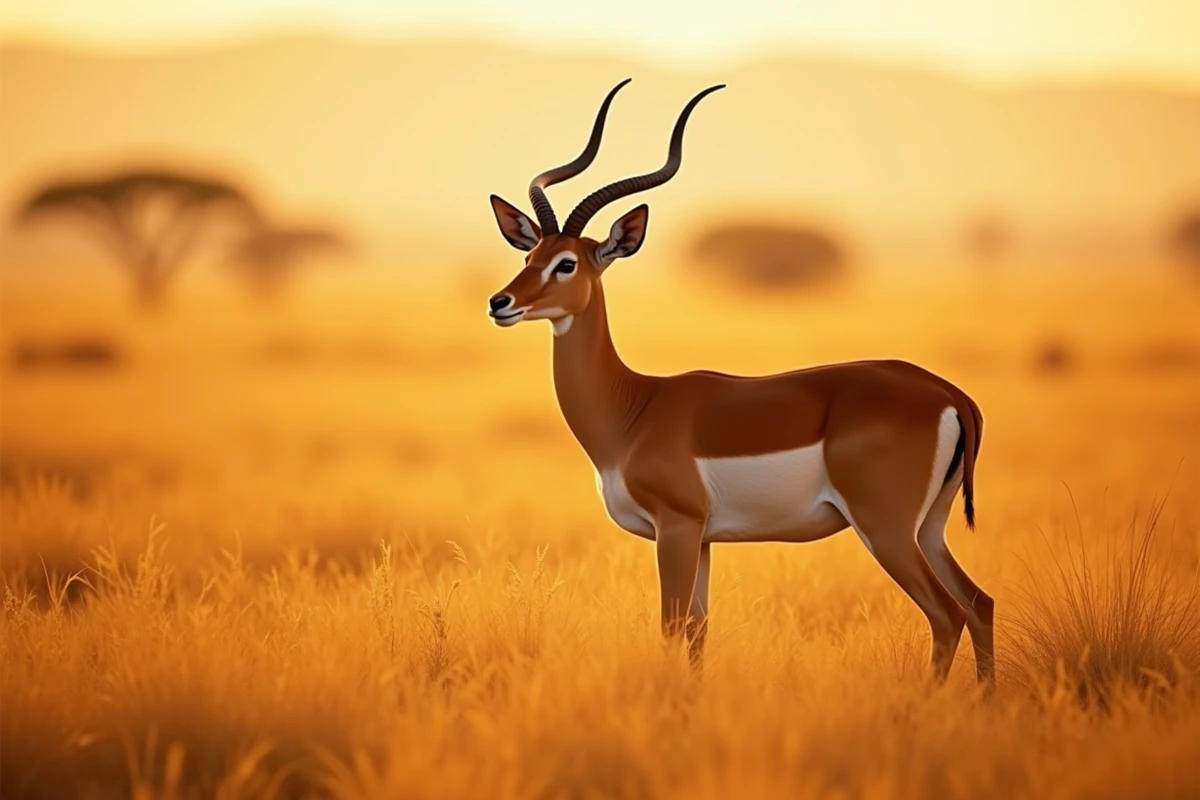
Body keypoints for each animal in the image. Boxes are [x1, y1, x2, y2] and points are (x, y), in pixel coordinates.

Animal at [485, 80, 994, 682]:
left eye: (567, 263)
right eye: (529, 255)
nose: (501, 303)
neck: (634, 409)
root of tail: (949, 395)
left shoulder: (677, 527)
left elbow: (670, 627)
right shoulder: (704, 538)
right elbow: (697, 632)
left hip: (887, 529)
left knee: (947, 614)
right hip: (930, 527)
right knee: (980, 602)